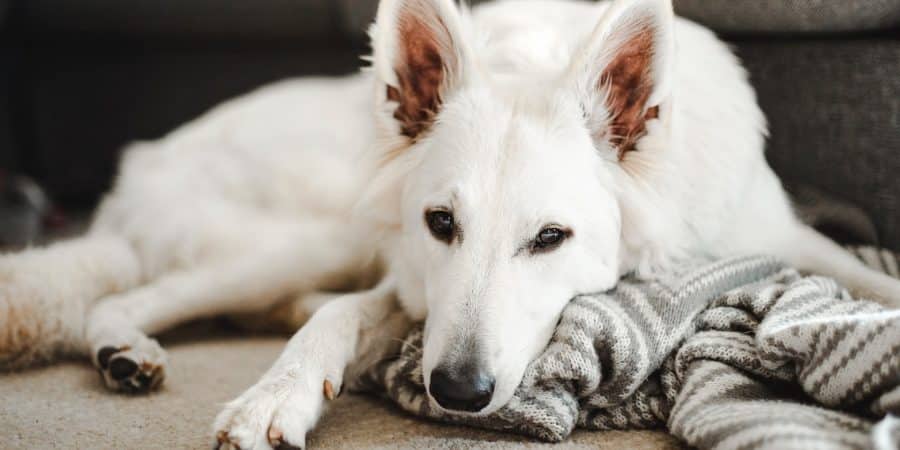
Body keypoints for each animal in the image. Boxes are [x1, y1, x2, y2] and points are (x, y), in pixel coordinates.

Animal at [1, 0, 900, 448]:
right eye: (440, 222)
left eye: (550, 238)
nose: (458, 392)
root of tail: (142, 160)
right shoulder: (410, 279)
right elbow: (341, 317)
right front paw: (276, 394)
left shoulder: (785, 239)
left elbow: (868, 275)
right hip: (309, 234)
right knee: (127, 295)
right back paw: (126, 349)